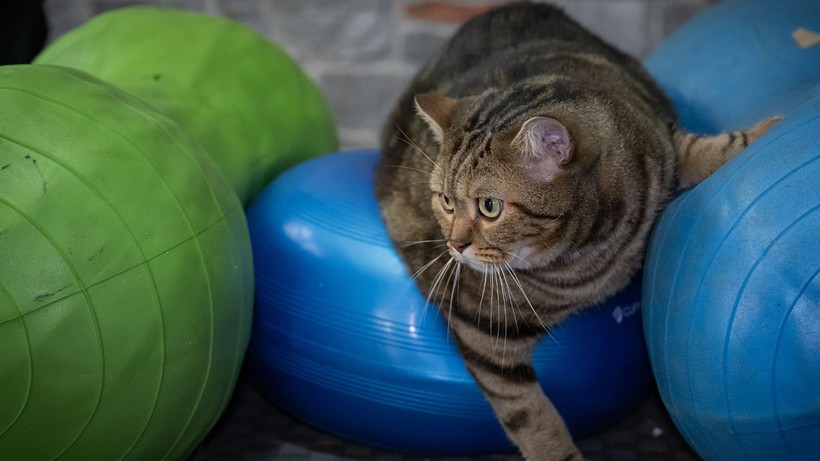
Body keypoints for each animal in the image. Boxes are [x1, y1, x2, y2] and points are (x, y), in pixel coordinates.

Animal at [374, 1, 780, 458]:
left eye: (489, 207)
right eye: (445, 201)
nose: (454, 245)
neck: (589, 250)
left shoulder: (660, 135)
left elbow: (708, 147)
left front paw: (768, 129)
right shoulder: (482, 330)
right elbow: (532, 417)